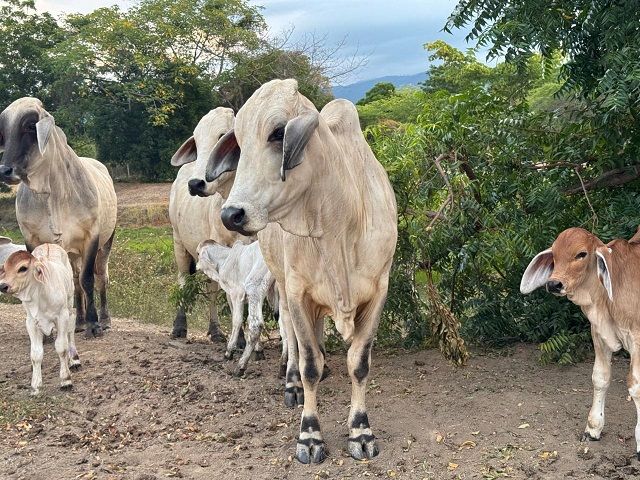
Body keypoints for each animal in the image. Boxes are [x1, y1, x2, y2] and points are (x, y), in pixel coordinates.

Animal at [0, 244, 79, 394]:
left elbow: (61, 347)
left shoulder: (62, 317)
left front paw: (66, 380)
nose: (3, 286)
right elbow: (36, 354)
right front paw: (36, 385)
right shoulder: (31, 323)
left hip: (70, 303)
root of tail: (49, 244)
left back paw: (74, 359)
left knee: (71, 330)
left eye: (22, 268)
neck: (40, 295)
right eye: (5, 268)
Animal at [198, 240, 282, 376]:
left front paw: (229, 352)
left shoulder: (237, 294)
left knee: (256, 324)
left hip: (254, 286)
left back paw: (241, 366)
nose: (195, 267)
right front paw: (259, 350)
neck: (225, 258)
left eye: (197, 253)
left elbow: (237, 321)